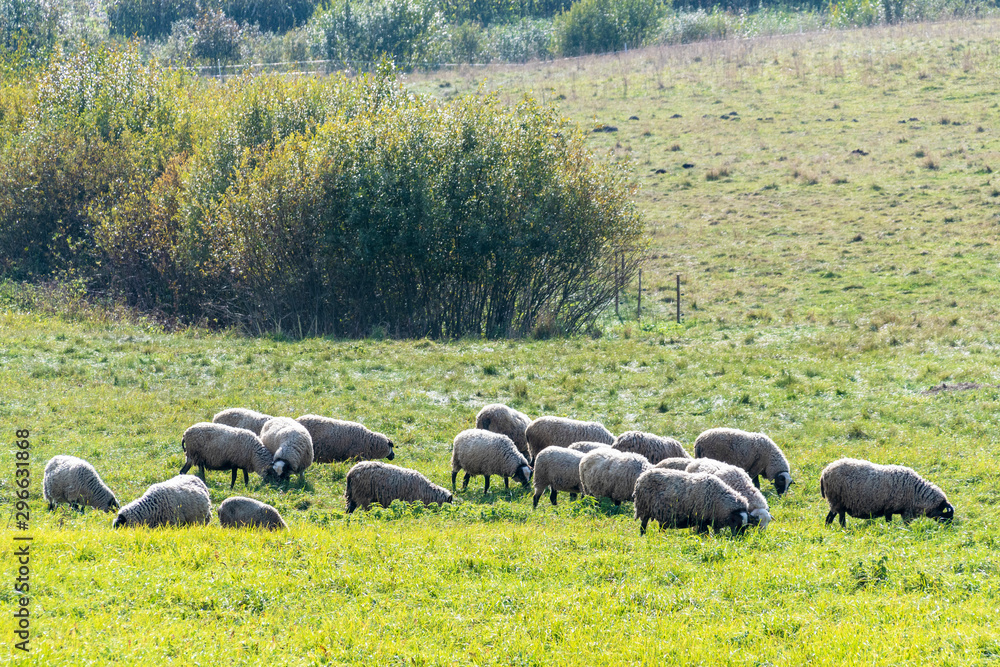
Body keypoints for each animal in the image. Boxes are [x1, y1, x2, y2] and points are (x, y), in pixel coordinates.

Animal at [820, 458, 954, 528]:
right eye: (946, 516)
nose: (948, 529)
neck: (916, 493)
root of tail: (825, 471)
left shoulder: (903, 511)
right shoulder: (890, 509)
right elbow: (890, 523)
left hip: (836, 502)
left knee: (830, 518)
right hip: (837, 500)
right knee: (839, 519)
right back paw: (844, 530)